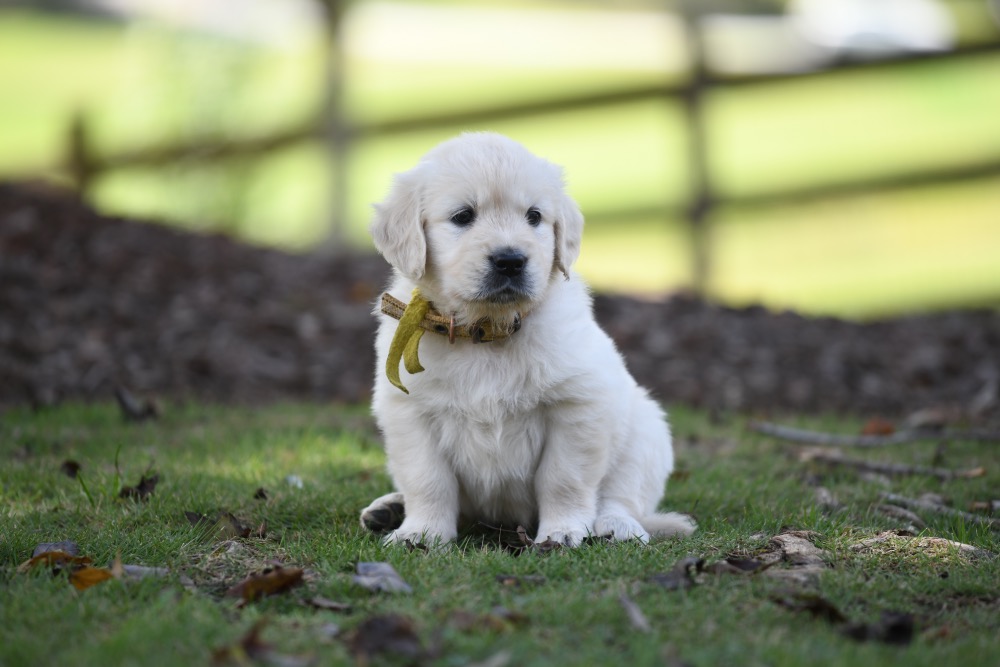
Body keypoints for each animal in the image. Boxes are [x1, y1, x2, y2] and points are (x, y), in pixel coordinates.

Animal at [360, 132, 696, 548]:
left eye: (534, 216)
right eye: (463, 216)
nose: (511, 260)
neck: (487, 331)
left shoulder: (577, 406)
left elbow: (563, 478)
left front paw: (563, 531)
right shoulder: (410, 413)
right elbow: (428, 480)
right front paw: (421, 532)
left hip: (646, 430)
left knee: (623, 495)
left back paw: (618, 525)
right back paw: (388, 509)